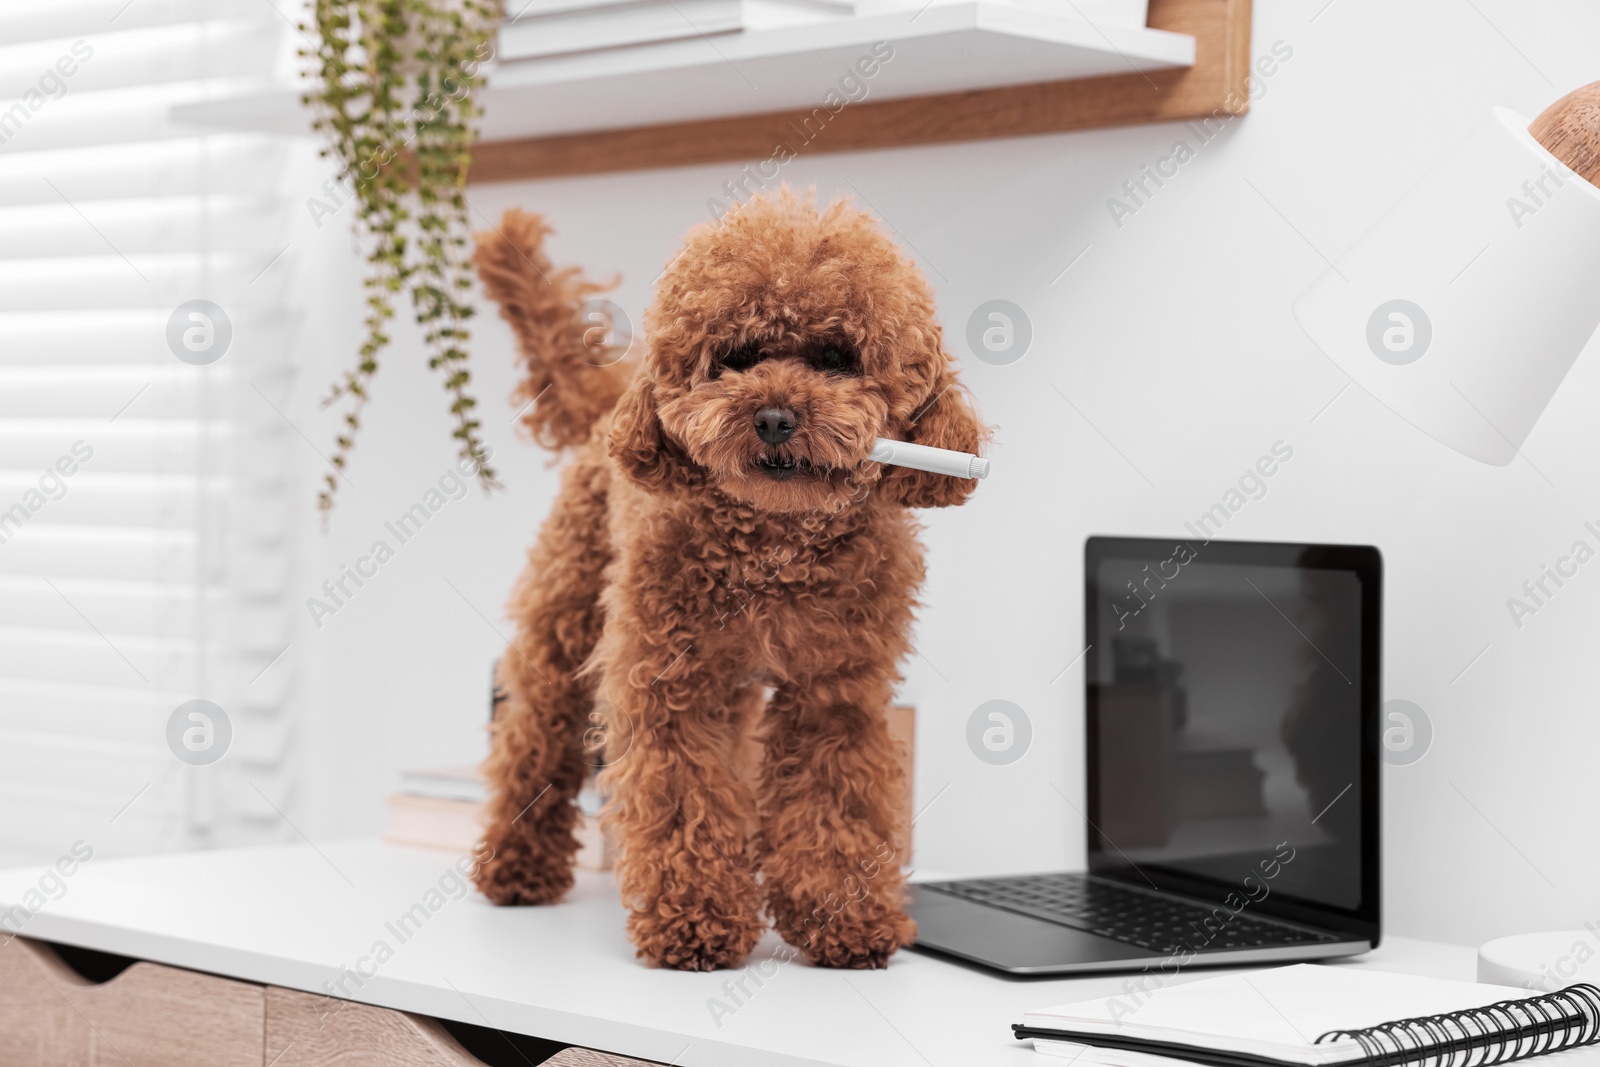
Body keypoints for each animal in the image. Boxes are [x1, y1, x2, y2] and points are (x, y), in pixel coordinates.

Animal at [467, 187, 979, 972]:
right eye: (734, 358)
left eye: (837, 357)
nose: (773, 417)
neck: (775, 547)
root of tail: (612, 401)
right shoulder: (669, 682)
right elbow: (683, 794)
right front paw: (696, 921)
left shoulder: (836, 692)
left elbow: (833, 800)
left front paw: (844, 920)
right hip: (567, 620)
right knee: (534, 734)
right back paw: (516, 868)